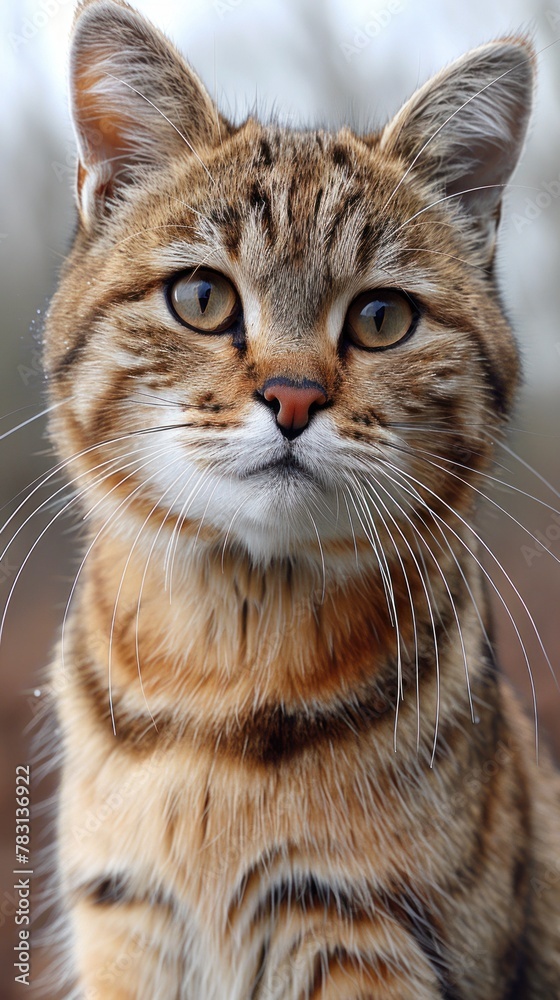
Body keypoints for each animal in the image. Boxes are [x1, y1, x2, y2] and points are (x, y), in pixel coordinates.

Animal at [36, 0, 560, 996]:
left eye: (382, 318)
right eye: (202, 297)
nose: (292, 397)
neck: (220, 690)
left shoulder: (362, 933)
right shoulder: (127, 928)